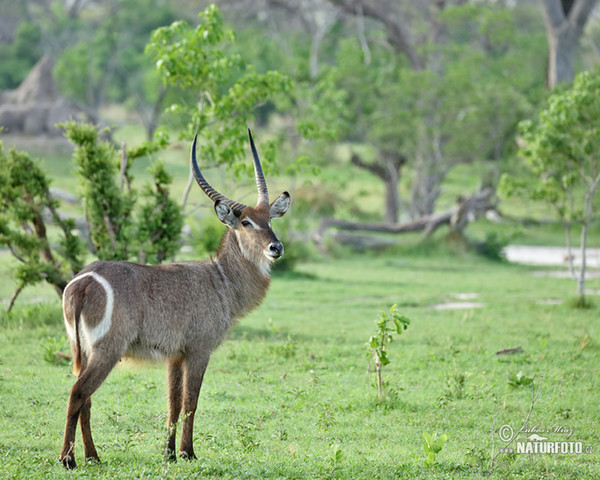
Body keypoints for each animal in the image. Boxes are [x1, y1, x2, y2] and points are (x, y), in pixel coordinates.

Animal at [59, 129, 290, 466]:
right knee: (78, 393)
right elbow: (191, 402)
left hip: (86, 351)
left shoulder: (174, 355)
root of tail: (84, 281)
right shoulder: (198, 350)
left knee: (85, 398)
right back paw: (68, 459)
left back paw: (93, 457)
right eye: (246, 222)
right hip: (107, 350)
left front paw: (168, 453)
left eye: (269, 219)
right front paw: (187, 452)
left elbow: (173, 403)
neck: (220, 278)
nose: (276, 247)